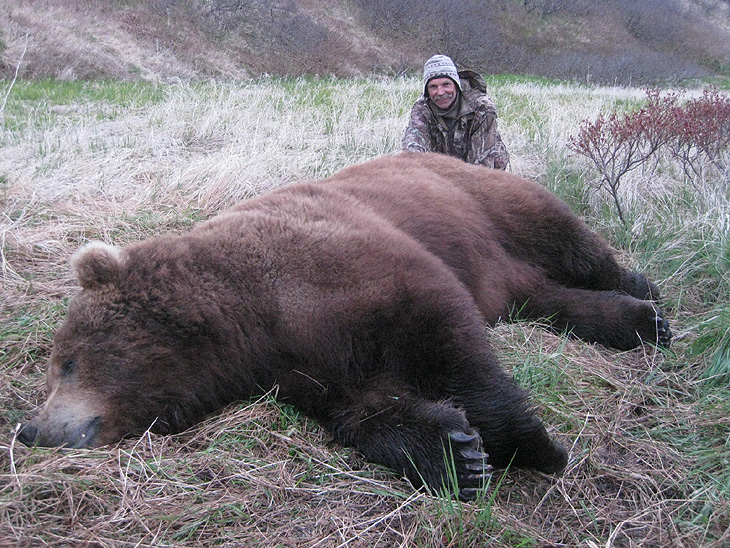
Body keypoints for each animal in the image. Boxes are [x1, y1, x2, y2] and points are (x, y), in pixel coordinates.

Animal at [18, 152, 671, 501]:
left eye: (66, 362)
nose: (30, 429)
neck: (243, 316)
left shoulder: (349, 270)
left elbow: (447, 335)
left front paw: (532, 444)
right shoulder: (296, 365)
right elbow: (362, 409)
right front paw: (457, 452)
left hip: (486, 201)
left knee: (566, 240)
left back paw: (647, 295)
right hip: (506, 272)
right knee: (545, 296)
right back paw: (637, 321)